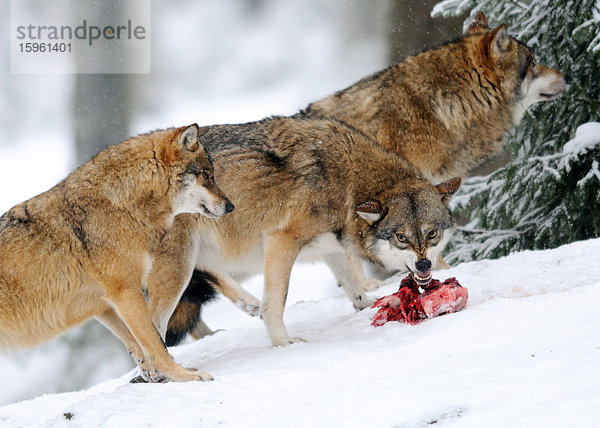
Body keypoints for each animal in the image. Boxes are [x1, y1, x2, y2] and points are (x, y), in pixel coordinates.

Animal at [0, 123, 233, 382]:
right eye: (207, 175)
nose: (231, 206)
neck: (121, 204)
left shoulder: (103, 304)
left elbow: (139, 345)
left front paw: (156, 375)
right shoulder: (126, 293)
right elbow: (155, 342)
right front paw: (184, 376)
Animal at [148, 116, 462, 348]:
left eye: (432, 233)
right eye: (401, 238)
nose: (424, 265)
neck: (343, 183)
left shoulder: (330, 246)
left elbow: (352, 285)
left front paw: (369, 304)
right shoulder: (282, 240)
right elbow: (276, 301)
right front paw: (283, 342)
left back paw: (245, 306)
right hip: (181, 266)